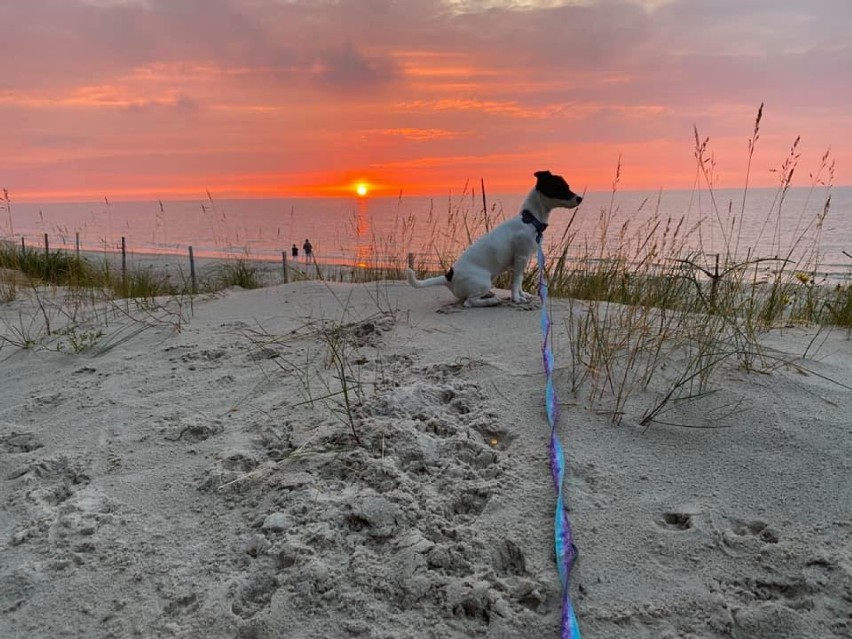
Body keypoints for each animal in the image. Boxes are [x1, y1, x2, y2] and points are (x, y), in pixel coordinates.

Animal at [404, 171, 580, 308]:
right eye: (562, 187)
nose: (580, 198)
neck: (530, 220)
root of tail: (449, 277)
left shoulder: (523, 260)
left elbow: (520, 280)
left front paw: (523, 295)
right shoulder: (520, 257)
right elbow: (516, 281)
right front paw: (517, 299)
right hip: (483, 281)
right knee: (469, 302)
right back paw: (492, 300)